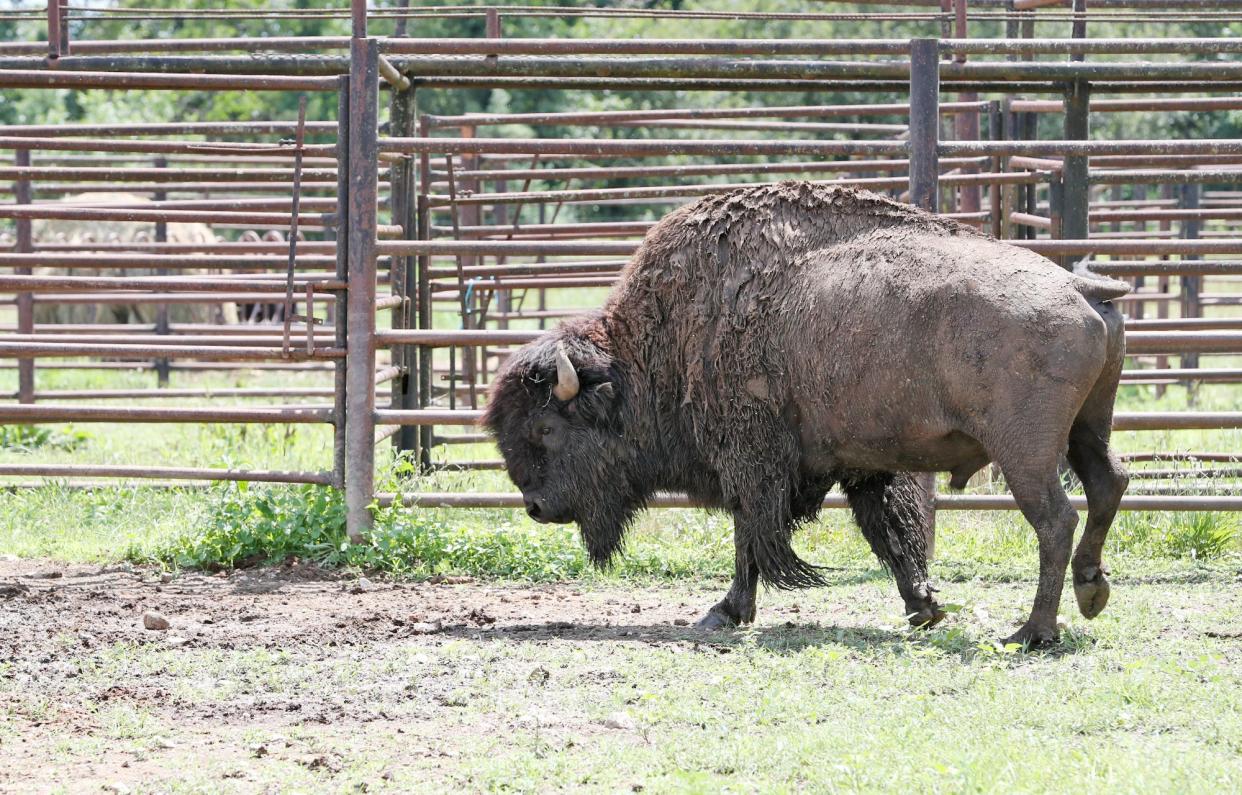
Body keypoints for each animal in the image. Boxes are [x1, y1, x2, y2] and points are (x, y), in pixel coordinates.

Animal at [481, 181, 1127, 645]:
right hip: (1087, 429)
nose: (535, 507)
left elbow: (751, 535)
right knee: (1109, 484)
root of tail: (1079, 289)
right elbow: (887, 533)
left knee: (1055, 519)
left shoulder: (750, 461)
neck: (659, 345)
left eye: (545, 427)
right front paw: (924, 607)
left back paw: (1033, 632)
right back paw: (1091, 594)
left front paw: (723, 612)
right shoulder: (864, 465)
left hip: (1026, 451)